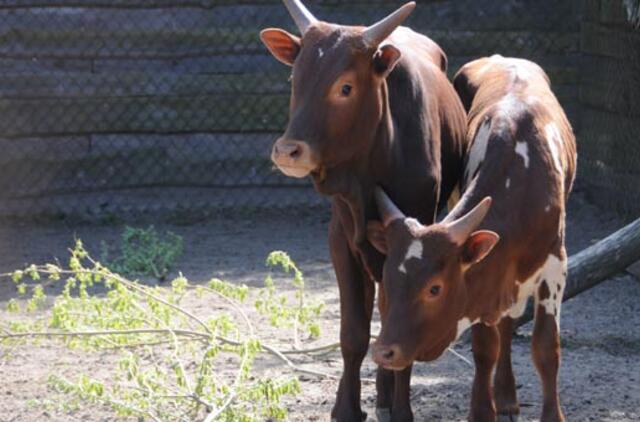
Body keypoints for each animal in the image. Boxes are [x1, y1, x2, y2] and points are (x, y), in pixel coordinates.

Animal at [258, 1, 468, 420]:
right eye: (295, 79)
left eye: (345, 86)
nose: (288, 151)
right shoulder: (341, 240)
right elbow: (353, 333)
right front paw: (346, 407)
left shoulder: (415, 238)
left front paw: (401, 409)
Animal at [368, 56, 576, 422]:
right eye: (388, 279)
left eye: (435, 288)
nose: (384, 352)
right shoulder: (483, 274)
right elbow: (485, 348)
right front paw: (482, 410)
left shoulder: (555, 265)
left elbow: (546, 347)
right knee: (503, 327)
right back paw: (505, 396)